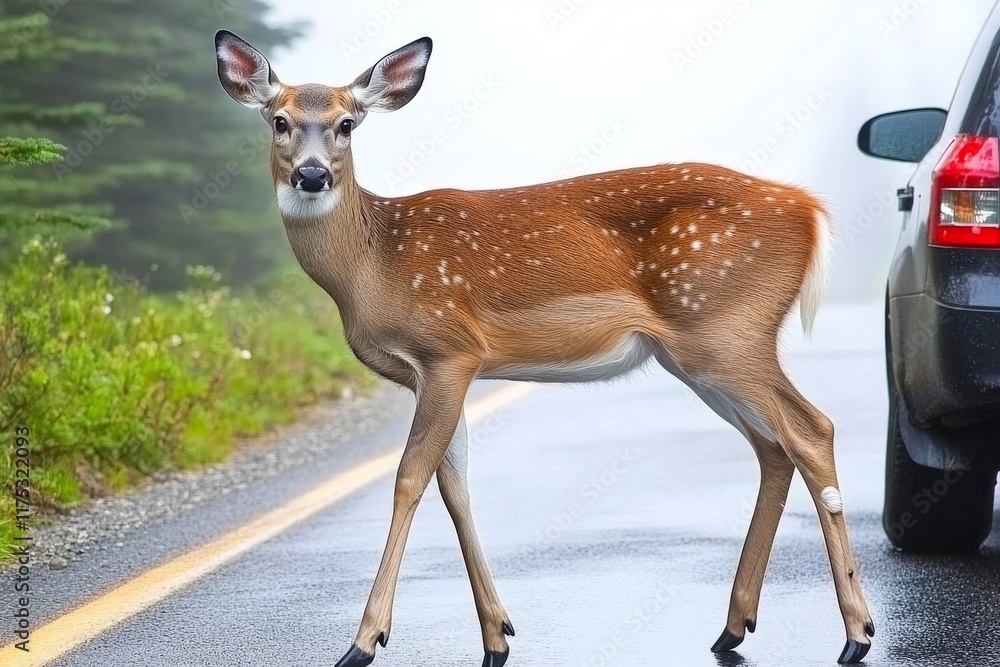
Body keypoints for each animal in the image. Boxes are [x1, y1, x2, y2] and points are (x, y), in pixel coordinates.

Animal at [215, 29, 875, 666]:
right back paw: (734, 627)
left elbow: (410, 478)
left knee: (811, 429)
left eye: (348, 123)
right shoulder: (433, 373)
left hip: (727, 329)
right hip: (697, 353)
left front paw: (364, 640)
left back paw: (857, 633)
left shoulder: (450, 350)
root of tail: (810, 209)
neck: (373, 265)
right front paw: (497, 635)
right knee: (773, 449)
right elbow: (455, 487)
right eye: (279, 119)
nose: (312, 175)